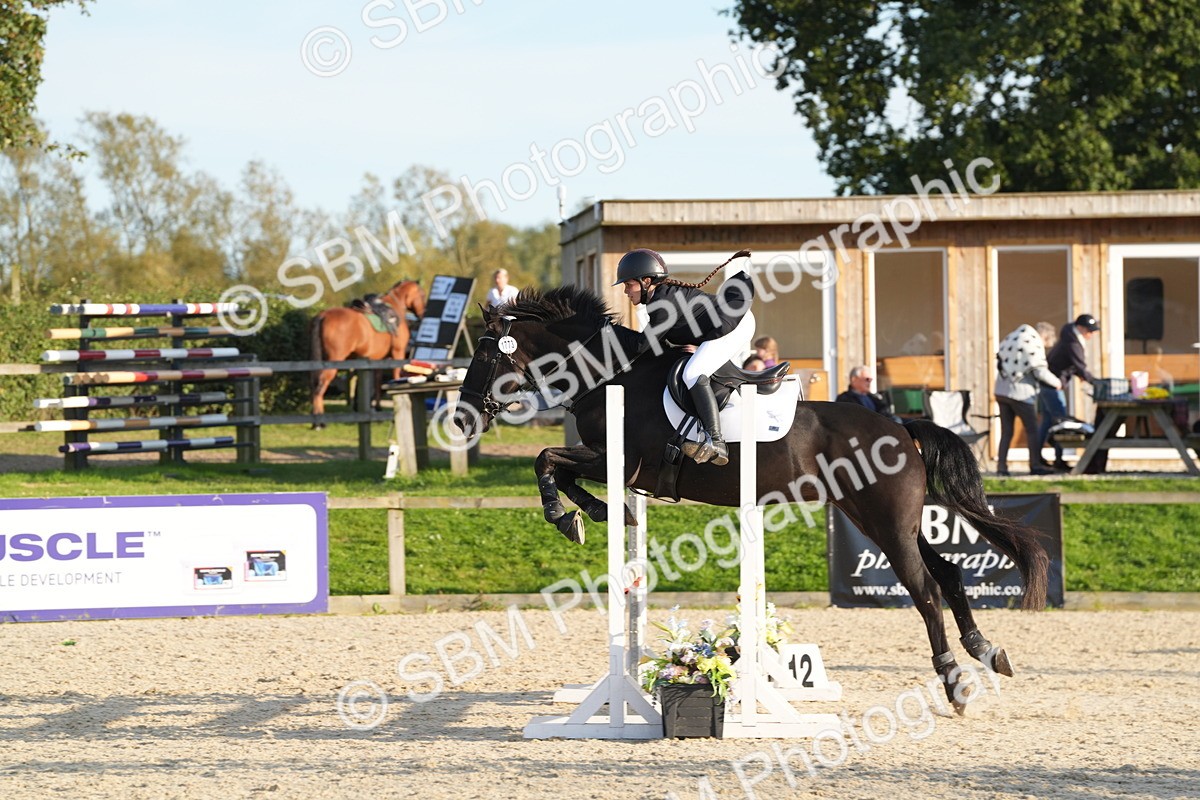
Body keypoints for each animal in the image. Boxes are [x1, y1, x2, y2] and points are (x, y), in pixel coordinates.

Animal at [310, 279, 426, 428]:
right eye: (422, 294)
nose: (422, 314)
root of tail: (323, 316)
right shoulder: (397, 353)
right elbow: (395, 375)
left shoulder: (378, 360)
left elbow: (377, 382)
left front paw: (377, 407)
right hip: (332, 362)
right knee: (320, 386)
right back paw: (320, 423)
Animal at [452, 285, 1050, 712]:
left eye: (483, 354)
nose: (461, 418)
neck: (611, 375)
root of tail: (900, 426)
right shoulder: (610, 462)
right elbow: (557, 466)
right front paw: (597, 512)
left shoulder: (621, 461)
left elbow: (547, 460)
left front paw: (572, 515)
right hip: (882, 520)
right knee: (946, 574)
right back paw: (987, 652)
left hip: (886, 522)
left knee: (925, 589)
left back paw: (955, 684)